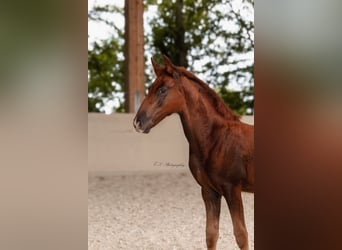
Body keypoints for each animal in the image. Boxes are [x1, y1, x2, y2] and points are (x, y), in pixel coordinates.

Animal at [134, 55, 254, 249]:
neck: (216, 139)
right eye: (151, 88)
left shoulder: (233, 189)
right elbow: (211, 234)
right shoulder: (209, 191)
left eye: (162, 90)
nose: (138, 122)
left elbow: (241, 235)